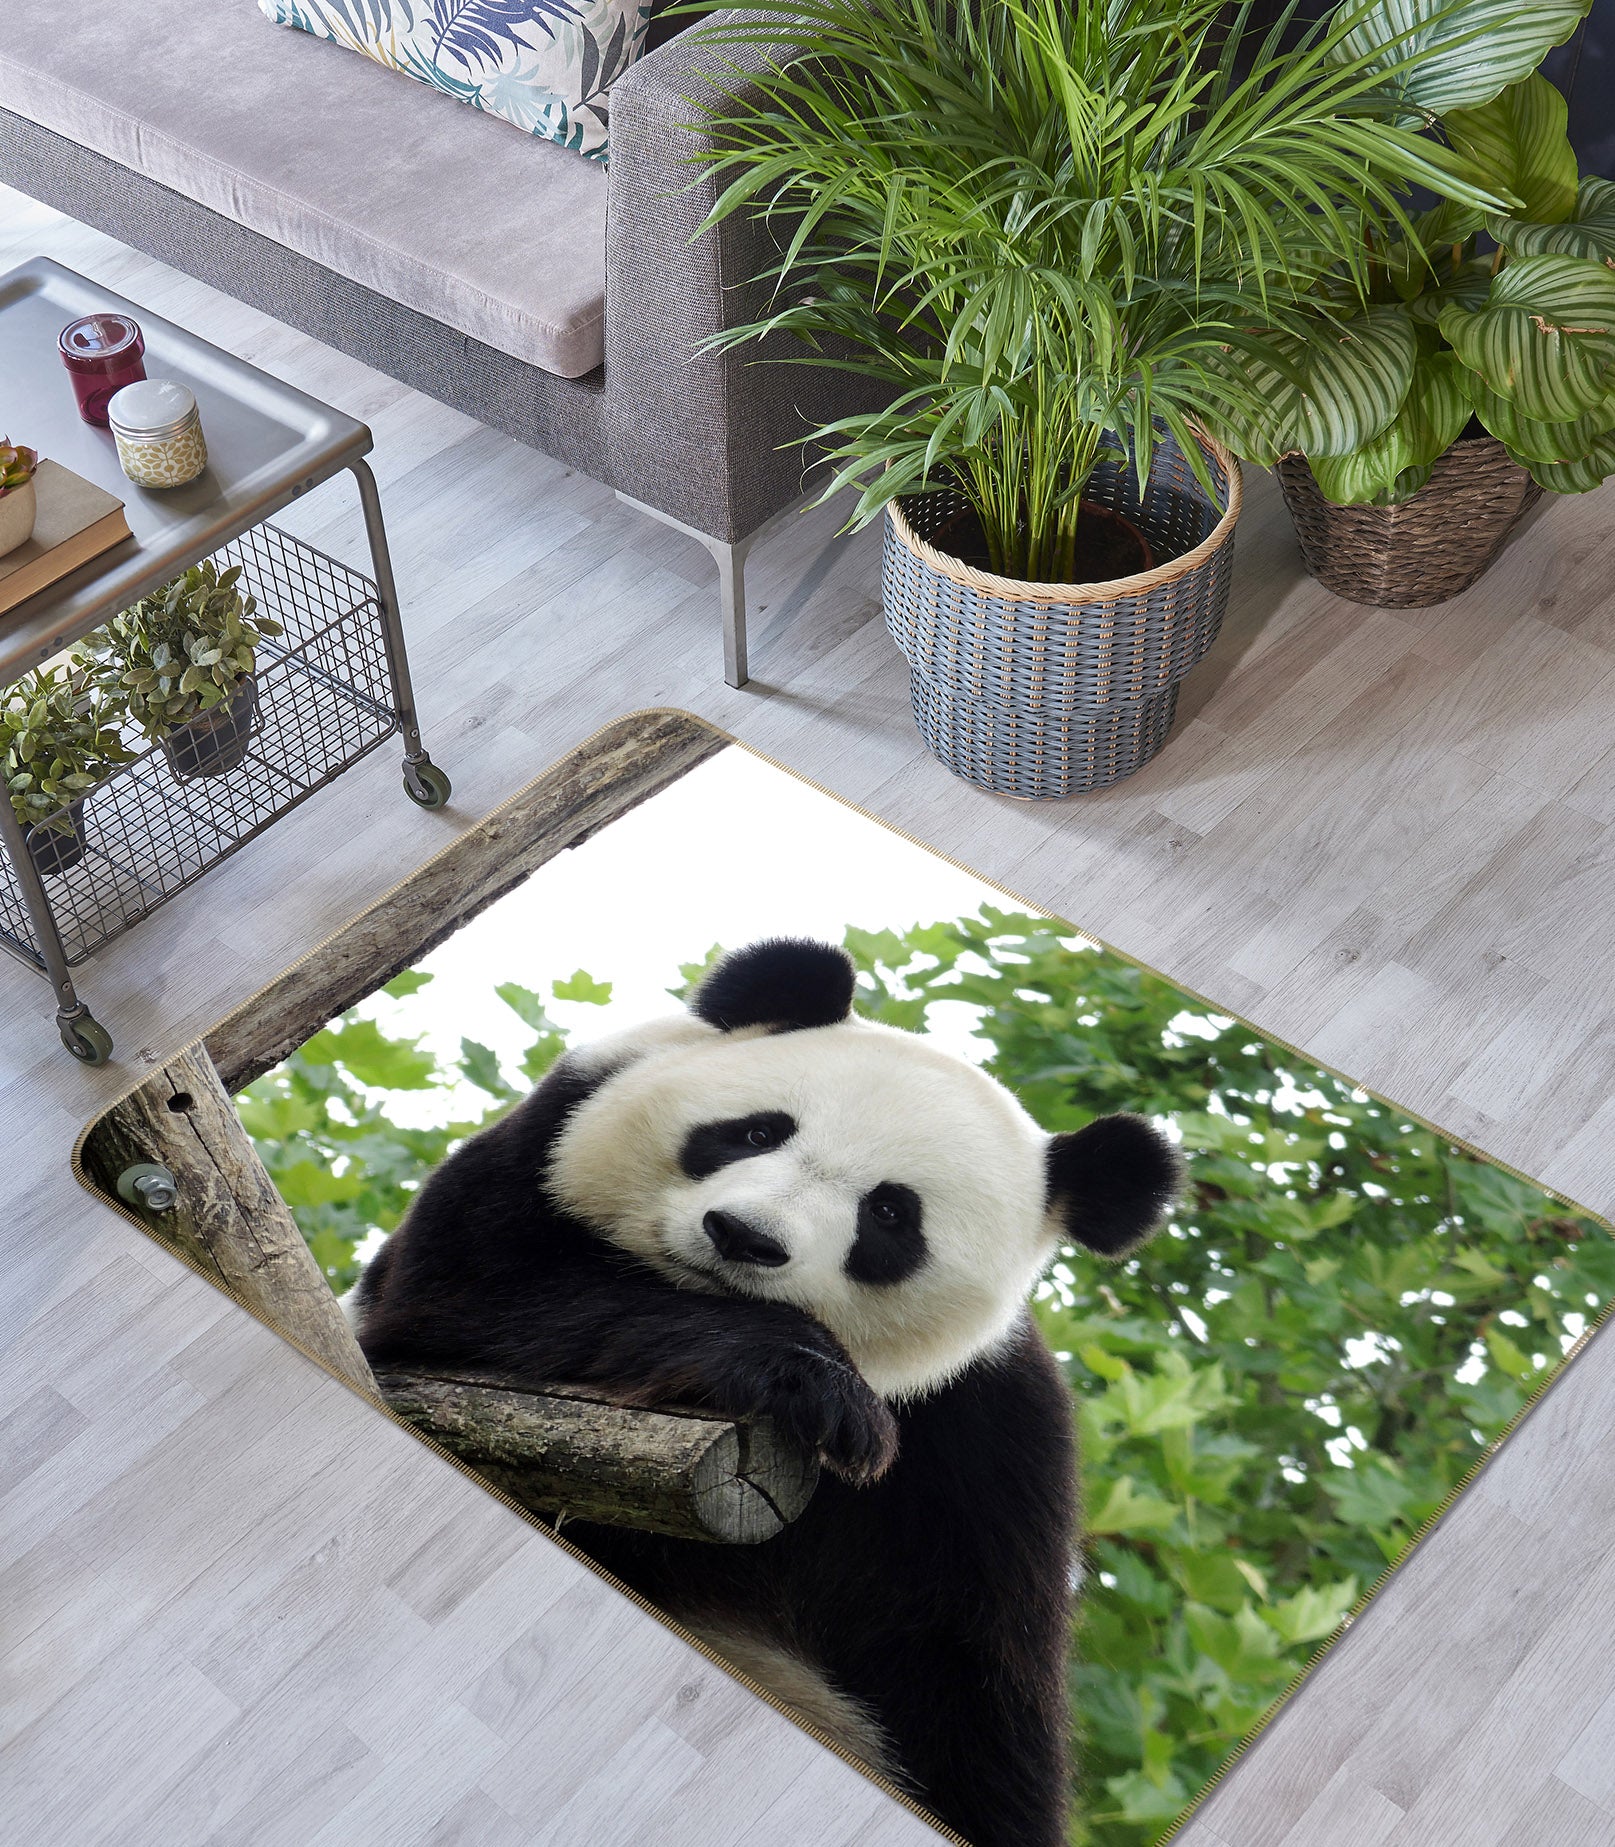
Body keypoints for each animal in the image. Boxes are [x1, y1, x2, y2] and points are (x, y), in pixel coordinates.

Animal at [349, 938, 1181, 1846]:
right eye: (754, 1131)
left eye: (891, 1214)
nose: (743, 1236)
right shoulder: (535, 1153)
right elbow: (478, 1288)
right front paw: (814, 1382)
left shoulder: (983, 1449)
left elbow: (967, 1686)